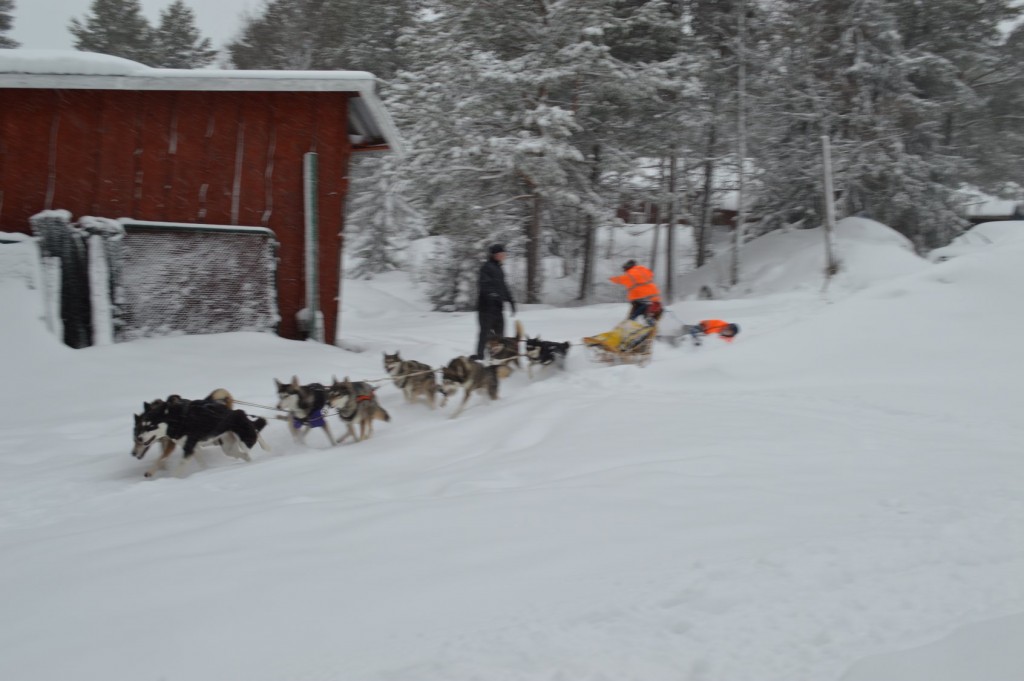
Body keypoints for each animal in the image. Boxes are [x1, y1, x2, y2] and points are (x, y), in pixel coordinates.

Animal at [131, 387, 268, 477]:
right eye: (142, 426)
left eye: (151, 426)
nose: (139, 438)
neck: (178, 419)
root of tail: (240, 412)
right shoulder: (193, 448)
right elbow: (202, 463)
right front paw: (205, 471)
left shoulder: (188, 447)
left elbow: (177, 466)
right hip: (228, 448)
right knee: (244, 452)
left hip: (245, 440)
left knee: (255, 435)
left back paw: (265, 449)